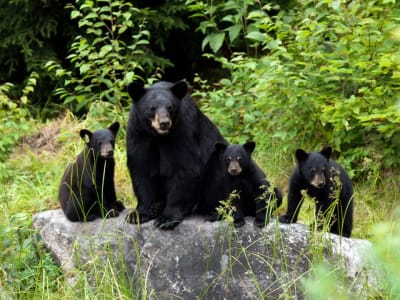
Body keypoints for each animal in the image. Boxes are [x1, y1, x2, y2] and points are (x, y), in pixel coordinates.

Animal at [125, 79, 225, 230]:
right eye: (152, 108)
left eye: (170, 108)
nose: (164, 123)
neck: (159, 136)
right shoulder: (138, 132)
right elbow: (140, 168)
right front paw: (138, 214)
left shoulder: (184, 129)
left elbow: (184, 168)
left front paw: (166, 219)